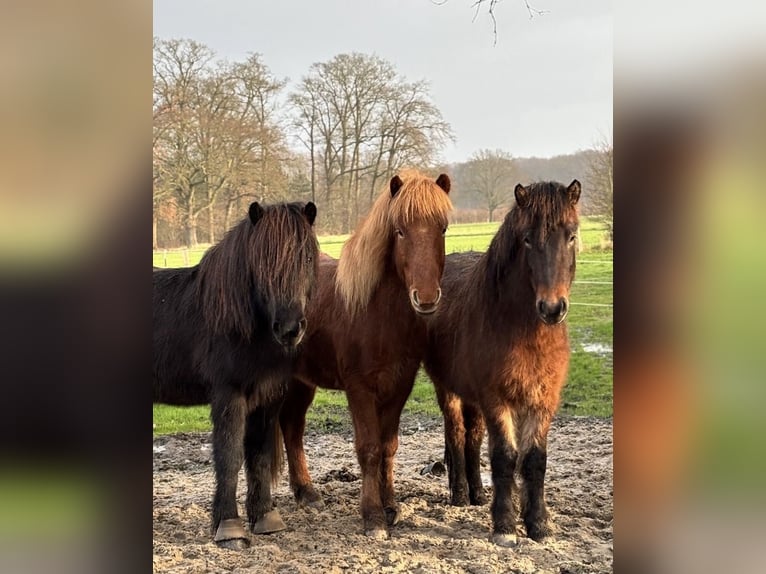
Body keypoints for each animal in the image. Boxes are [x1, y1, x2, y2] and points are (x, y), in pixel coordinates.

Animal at [153, 201, 319, 549]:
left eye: (308, 258)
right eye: (262, 261)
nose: (289, 328)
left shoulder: (267, 397)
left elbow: (258, 454)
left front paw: (265, 517)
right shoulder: (229, 396)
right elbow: (229, 455)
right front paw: (229, 526)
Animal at [279, 171, 452, 538]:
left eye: (443, 228)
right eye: (400, 230)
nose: (426, 298)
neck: (375, 311)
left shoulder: (399, 386)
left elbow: (388, 447)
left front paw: (390, 507)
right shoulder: (359, 388)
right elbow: (369, 449)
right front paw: (372, 516)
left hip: (302, 383)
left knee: (292, 426)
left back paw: (307, 493)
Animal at [423, 180, 581, 546]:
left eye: (571, 235)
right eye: (527, 239)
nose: (552, 308)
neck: (526, 334)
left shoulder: (542, 400)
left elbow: (534, 460)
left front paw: (538, 524)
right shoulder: (497, 399)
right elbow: (505, 458)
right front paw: (505, 525)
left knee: (472, 438)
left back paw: (478, 494)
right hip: (448, 390)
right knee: (456, 433)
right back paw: (460, 494)